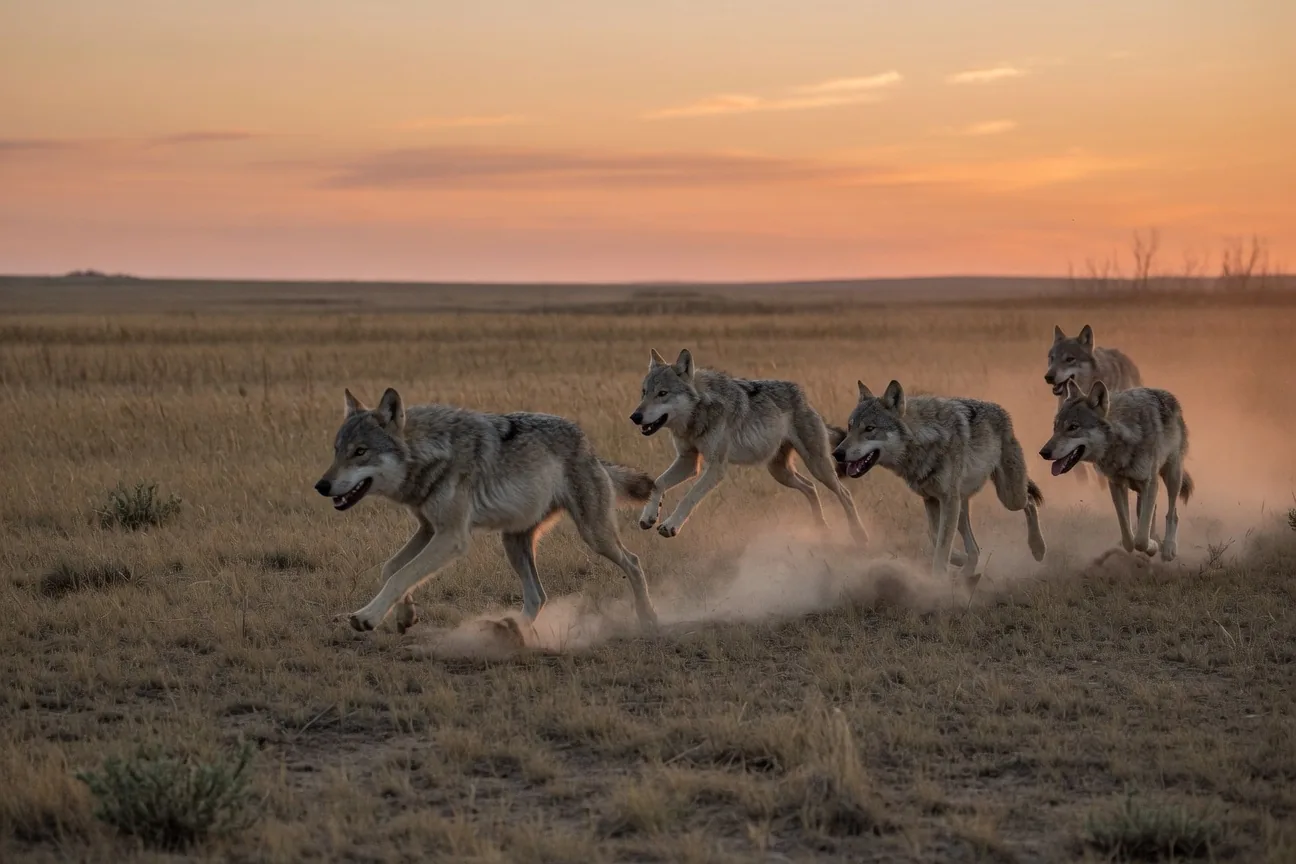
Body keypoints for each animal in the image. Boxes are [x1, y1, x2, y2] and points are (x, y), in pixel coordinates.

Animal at [314, 387, 659, 634]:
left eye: (360, 452)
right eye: (336, 451)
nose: (321, 485)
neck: (432, 453)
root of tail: (590, 447)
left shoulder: (451, 537)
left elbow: (402, 575)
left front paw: (367, 617)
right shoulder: (428, 528)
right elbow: (391, 569)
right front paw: (405, 615)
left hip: (593, 536)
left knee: (633, 562)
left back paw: (648, 618)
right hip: (513, 543)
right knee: (538, 596)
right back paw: (508, 632)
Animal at [629, 348, 868, 545]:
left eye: (662, 393)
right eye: (643, 392)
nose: (635, 416)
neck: (698, 414)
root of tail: (805, 399)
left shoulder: (716, 468)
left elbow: (690, 496)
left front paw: (671, 526)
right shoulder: (689, 461)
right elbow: (658, 483)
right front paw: (649, 516)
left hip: (817, 467)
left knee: (845, 493)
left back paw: (859, 535)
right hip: (780, 473)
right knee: (810, 488)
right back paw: (821, 529)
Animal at [832, 380, 1047, 582]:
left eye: (869, 428)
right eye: (849, 427)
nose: (837, 453)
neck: (924, 440)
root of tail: (1002, 411)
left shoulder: (947, 499)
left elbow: (942, 543)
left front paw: (938, 579)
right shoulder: (931, 499)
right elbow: (935, 537)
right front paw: (955, 561)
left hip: (1009, 497)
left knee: (1029, 502)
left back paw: (1038, 548)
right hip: (962, 507)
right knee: (975, 549)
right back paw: (966, 573)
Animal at [1039, 380, 1194, 562]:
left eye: (1073, 427)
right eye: (1055, 427)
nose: (1043, 452)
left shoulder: (1150, 483)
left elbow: (1140, 540)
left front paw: (1153, 546)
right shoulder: (1116, 484)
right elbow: (1128, 538)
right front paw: (1149, 545)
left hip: (1172, 476)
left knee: (1172, 513)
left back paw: (1169, 548)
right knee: (1149, 512)